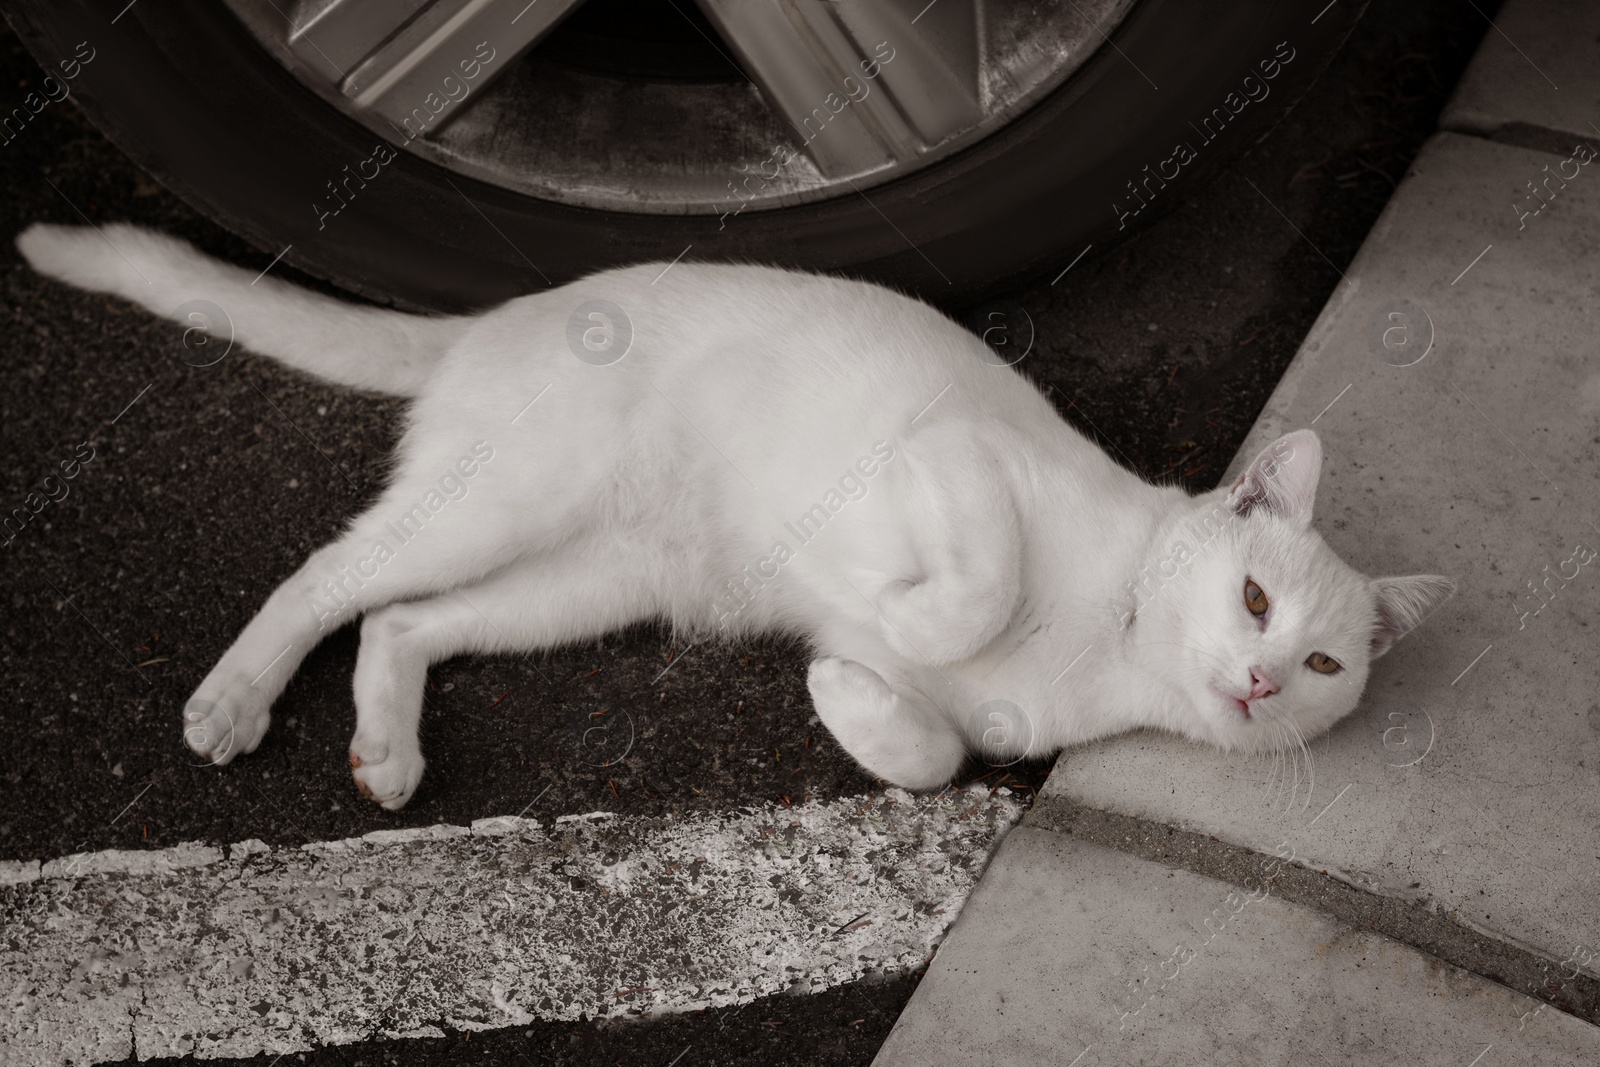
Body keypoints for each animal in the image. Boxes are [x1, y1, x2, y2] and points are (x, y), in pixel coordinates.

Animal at [18, 225, 1459, 809]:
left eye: (1320, 662)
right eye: (1255, 599)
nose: (1262, 682)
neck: (1106, 647)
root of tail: (497, 313)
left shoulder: (973, 716)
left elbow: (929, 752)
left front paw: (846, 695)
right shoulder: (952, 455)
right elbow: (974, 585)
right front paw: (913, 617)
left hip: (587, 580)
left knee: (400, 621)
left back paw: (385, 746)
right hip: (512, 499)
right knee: (327, 570)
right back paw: (234, 698)